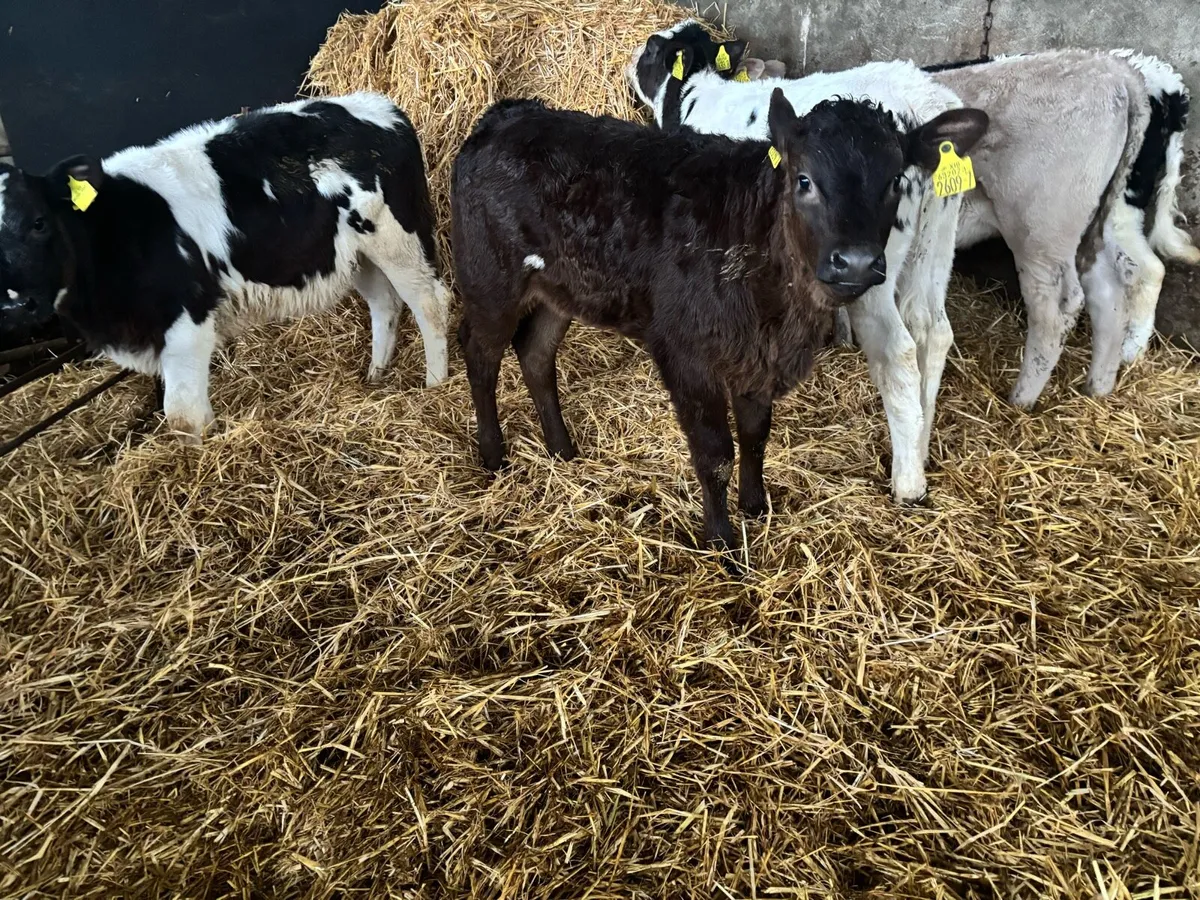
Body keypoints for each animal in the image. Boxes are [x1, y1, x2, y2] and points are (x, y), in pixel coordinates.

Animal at [0, 92, 451, 442]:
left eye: (39, 222)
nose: (13, 305)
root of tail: (376, 104)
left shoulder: (188, 325)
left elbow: (185, 418)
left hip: (397, 237)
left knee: (429, 302)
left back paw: (435, 383)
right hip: (356, 254)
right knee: (384, 304)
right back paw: (376, 375)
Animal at [451, 93, 986, 569]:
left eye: (895, 180)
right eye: (804, 179)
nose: (854, 261)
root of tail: (506, 116)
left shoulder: (759, 359)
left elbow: (755, 435)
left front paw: (756, 505)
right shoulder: (686, 355)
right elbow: (715, 454)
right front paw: (724, 545)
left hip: (559, 288)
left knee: (535, 352)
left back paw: (562, 450)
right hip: (490, 280)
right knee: (480, 354)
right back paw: (493, 454)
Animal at [627, 19, 987, 504]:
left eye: (651, 48)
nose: (629, 59)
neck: (699, 97)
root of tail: (924, 104)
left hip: (874, 264)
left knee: (899, 350)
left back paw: (907, 481)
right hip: (937, 239)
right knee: (933, 330)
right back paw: (921, 443)